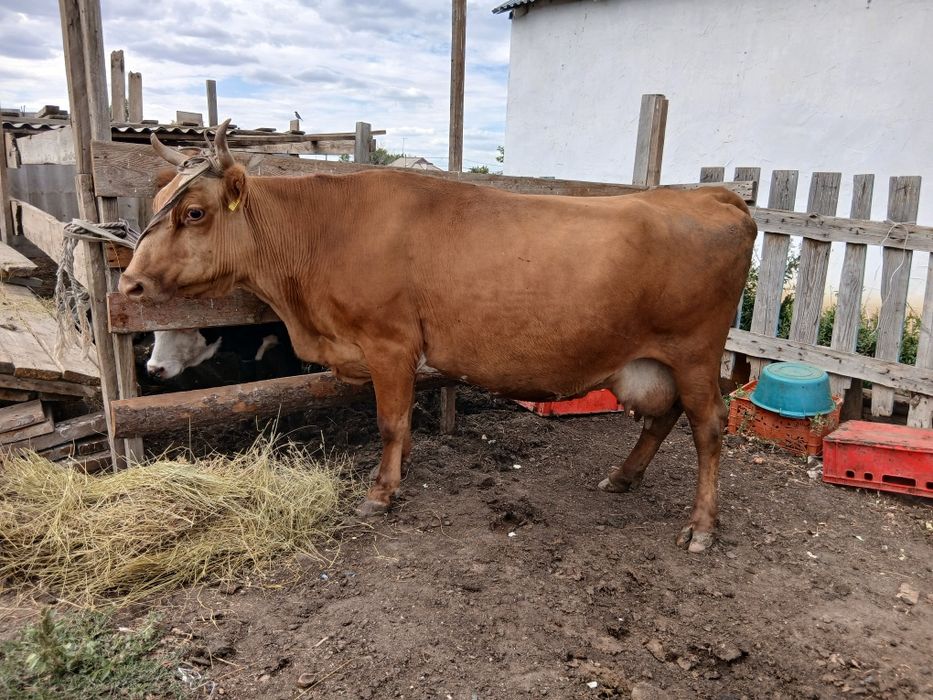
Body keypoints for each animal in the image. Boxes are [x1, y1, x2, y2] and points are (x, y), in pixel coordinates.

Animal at [119, 120, 757, 552]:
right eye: (158, 204)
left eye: (194, 213)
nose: (129, 281)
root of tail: (709, 194)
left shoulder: (390, 344)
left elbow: (390, 423)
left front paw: (381, 493)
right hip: (653, 359)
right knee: (664, 415)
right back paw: (623, 477)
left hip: (696, 352)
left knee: (708, 428)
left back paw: (701, 526)